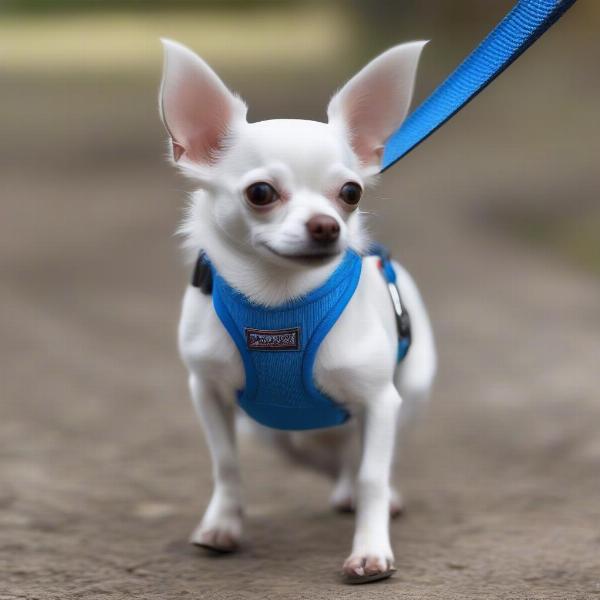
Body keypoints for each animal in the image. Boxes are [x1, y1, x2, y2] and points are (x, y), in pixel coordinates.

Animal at [159, 39, 436, 584]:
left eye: (351, 193)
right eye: (261, 193)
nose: (327, 225)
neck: (278, 300)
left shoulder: (380, 400)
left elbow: (372, 474)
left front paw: (371, 550)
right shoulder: (208, 391)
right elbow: (226, 465)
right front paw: (222, 526)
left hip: (410, 392)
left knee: (362, 454)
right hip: (266, 430)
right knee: (310, 449)